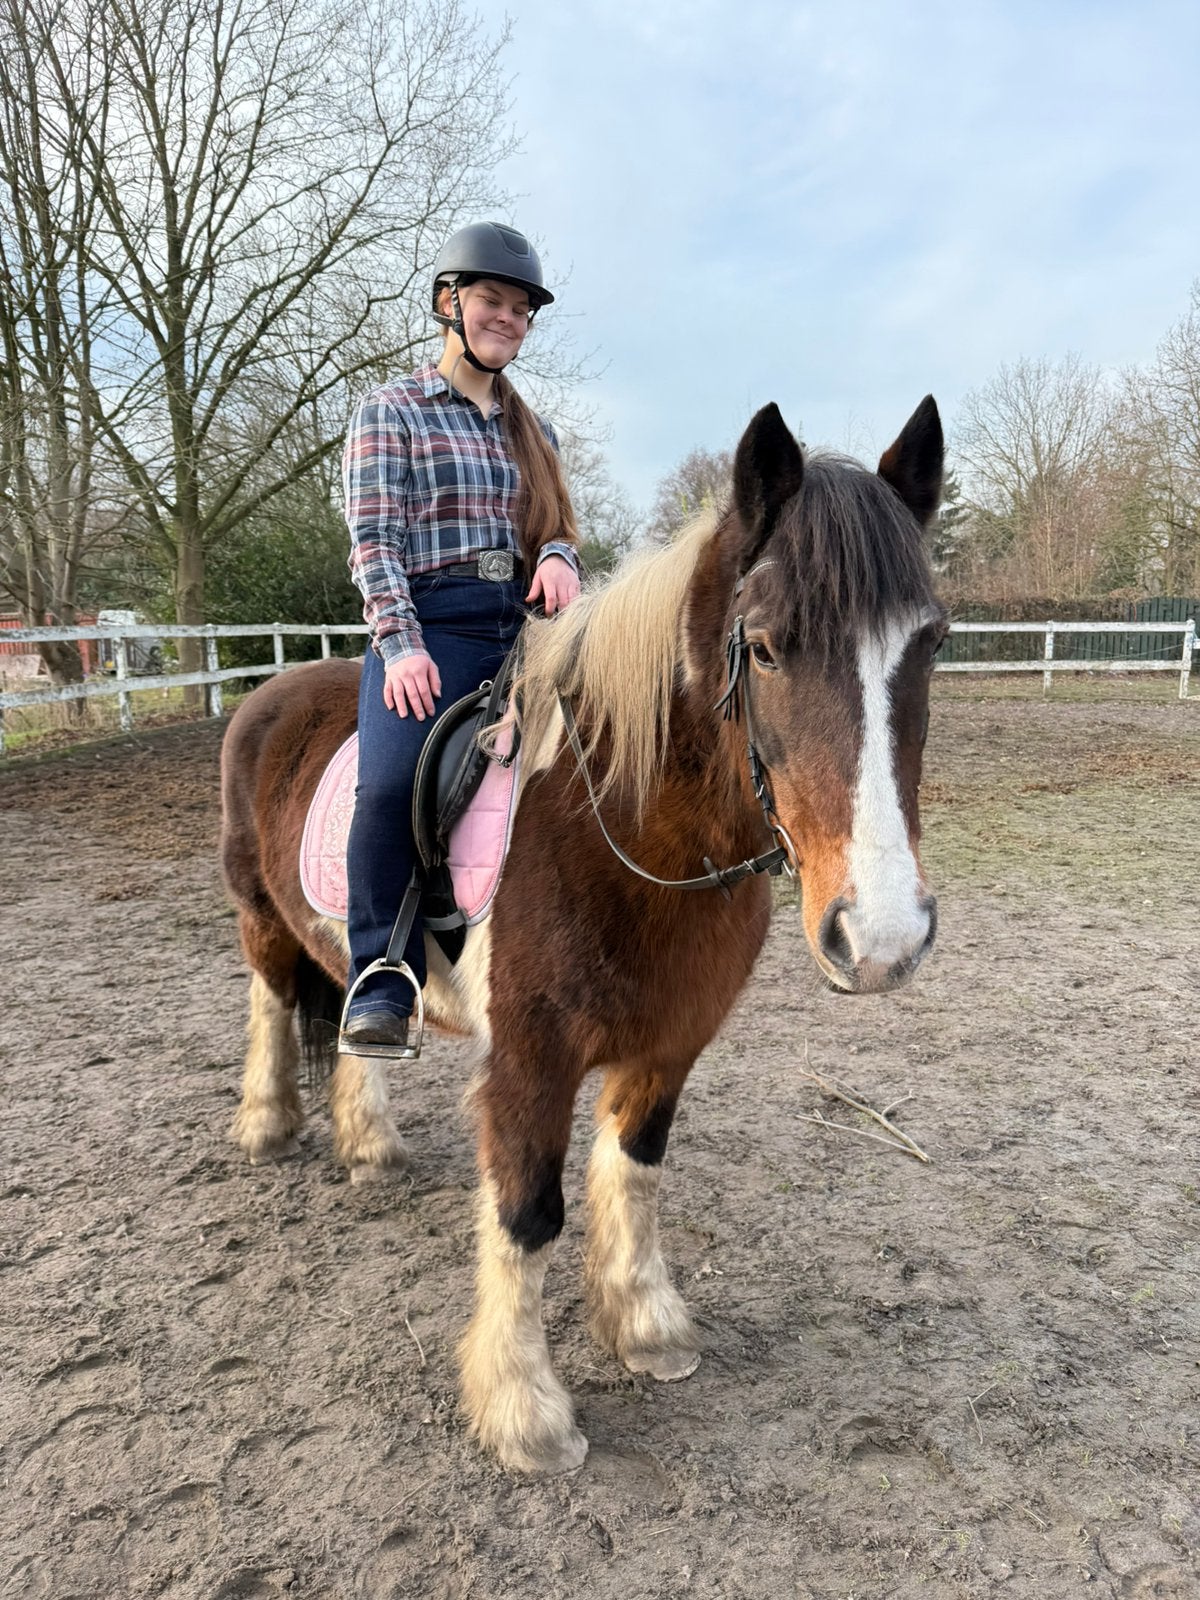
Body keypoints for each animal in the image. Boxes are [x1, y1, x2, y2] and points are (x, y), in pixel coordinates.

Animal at [218, 397, 947, 1473]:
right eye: (768, 646)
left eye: (931, 644)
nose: (885, 937)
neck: (628, 828)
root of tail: (270, 690)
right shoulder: (532, 1059)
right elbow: (529, 1213)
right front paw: (525, 1411)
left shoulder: (670, 1042)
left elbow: (635, 1171)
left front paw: (646, 1327)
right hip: (259, 916)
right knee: (272, 1002)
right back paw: (268, 1127)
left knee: (355, 1014)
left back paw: (370, 1144)